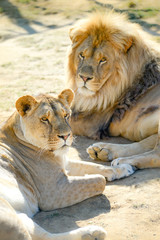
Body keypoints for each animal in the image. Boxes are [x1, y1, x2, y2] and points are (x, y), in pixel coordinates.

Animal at [0, 89, 134, 239]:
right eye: (44, 119)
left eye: (66, 115)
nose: (65, 136)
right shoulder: (53, 192)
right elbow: (99, 180)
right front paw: (94, 176)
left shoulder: (64, 164)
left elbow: (93, 166)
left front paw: (123, 168)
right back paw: (93, 233)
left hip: (21, 216)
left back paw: (92, 233)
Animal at [67, 12, 160, 169]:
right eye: (82, 55)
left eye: (103, 60)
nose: (84, 77)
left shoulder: (92, 122)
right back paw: (104, 151)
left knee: (156, 154)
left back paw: (123, 162)